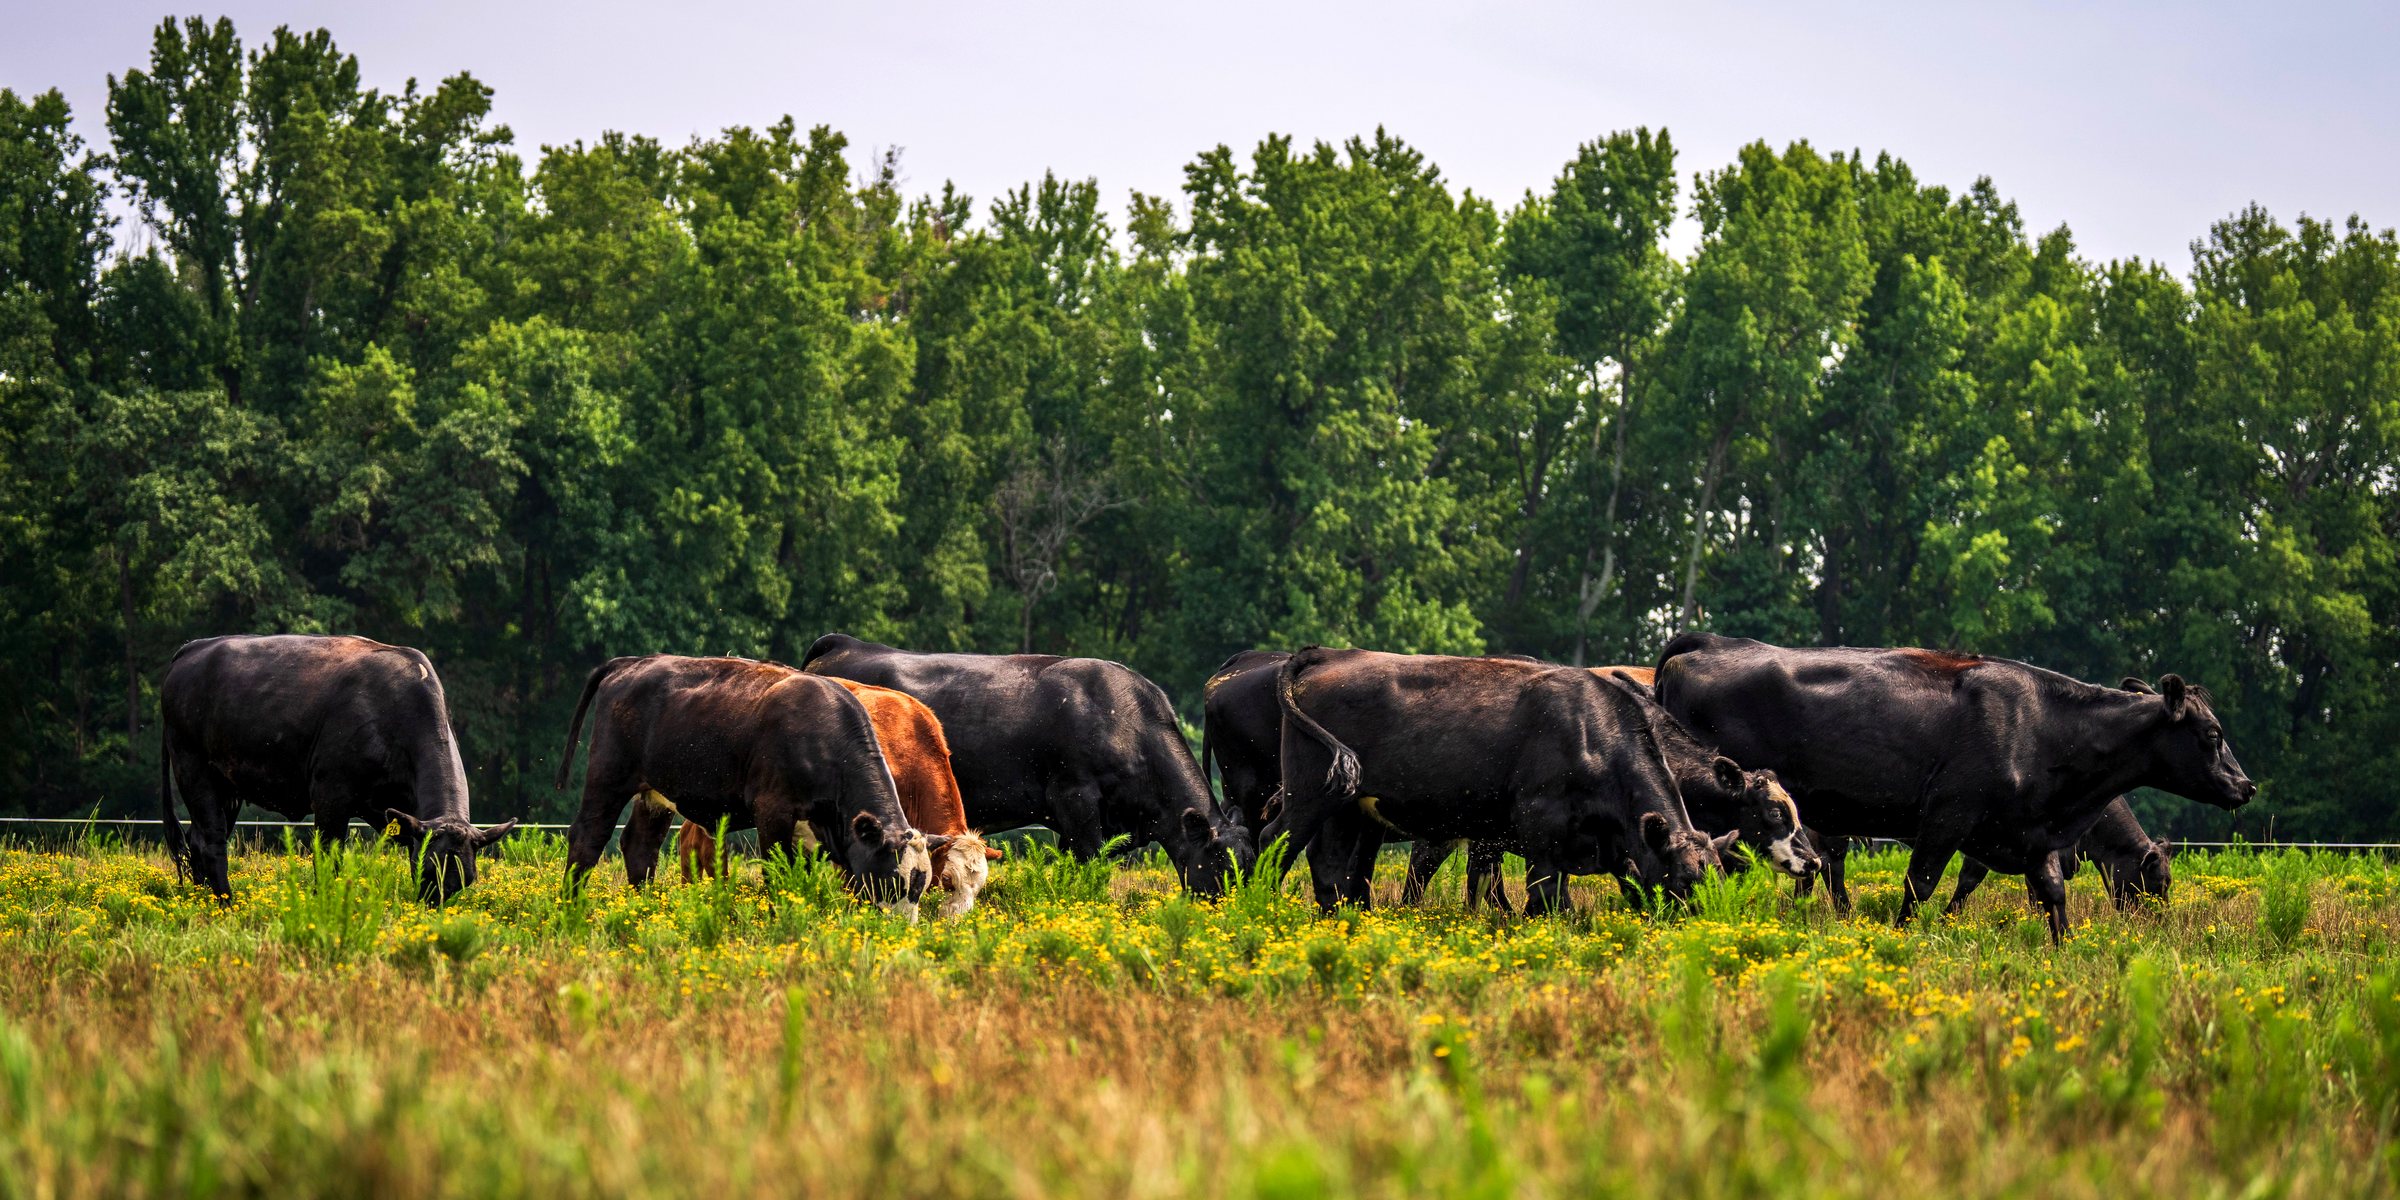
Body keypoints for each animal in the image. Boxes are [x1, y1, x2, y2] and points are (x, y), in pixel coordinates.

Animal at [158, 634, 518, 903]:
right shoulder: (331, 795)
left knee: (197, 838)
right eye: (429, 872)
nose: (432, 910)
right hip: (192, 767)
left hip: (227, 785)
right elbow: (328, 859)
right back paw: (225, 903)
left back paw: (202, 899)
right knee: (211, 841)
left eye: (467, 880)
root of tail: (195, 647)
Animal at [553, 655, 942, 919]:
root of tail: (633, 663)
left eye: (921, 886)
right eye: (893, 879)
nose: (900, 929)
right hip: (608, 778)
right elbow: (777, 872)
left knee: (639, 847)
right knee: (588, 838)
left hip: (655, 793)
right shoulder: (773, 813)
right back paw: (571, 907)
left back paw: (645, 910)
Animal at [800, 634, 1254, 896]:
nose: (1242, 912)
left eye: (1251, 865)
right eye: (1223, 867)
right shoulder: (1075, 799)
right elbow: (1089, 865)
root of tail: (843, 642)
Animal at [1257, 647, 1716, 914]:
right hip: (1308, 793)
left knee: (1328, 861)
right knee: (1274, 841)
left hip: (1347, 806)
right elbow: (1547, 893)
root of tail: (1330, 653)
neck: (1593, 731)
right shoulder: (1540, 824)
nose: (1704, 925)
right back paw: (1258, 904)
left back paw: (1339, 917)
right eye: (1685, 882)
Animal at [1652, 633, 2252, 940]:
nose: (2245, 786)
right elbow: (1921, 885)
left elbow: (2053, 897)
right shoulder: (1948, 818)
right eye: (2213, 733)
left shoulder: (2031, 835)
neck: (2043, 723)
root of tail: (1707, 643)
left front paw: (2064, 953)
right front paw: (1903, 940)